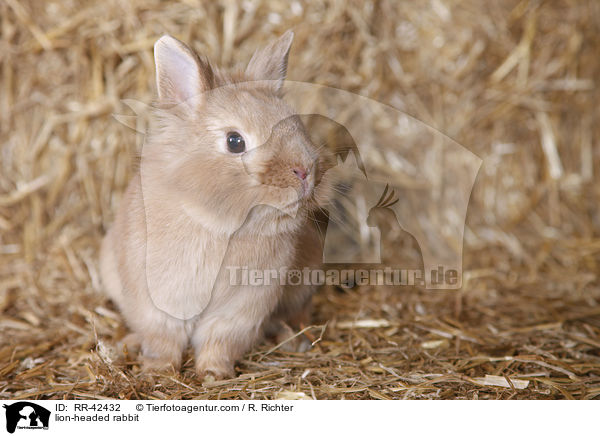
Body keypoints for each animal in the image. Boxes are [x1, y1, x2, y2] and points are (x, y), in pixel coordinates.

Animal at [100, 31, 330, 378]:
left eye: (299, 127)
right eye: (235, 142)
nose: (304, 172)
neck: (218, 223)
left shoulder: (240, 310)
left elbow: (219, 342)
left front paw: (214, 375)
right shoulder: (157, 304)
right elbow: (162, 340)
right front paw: (158, 372)